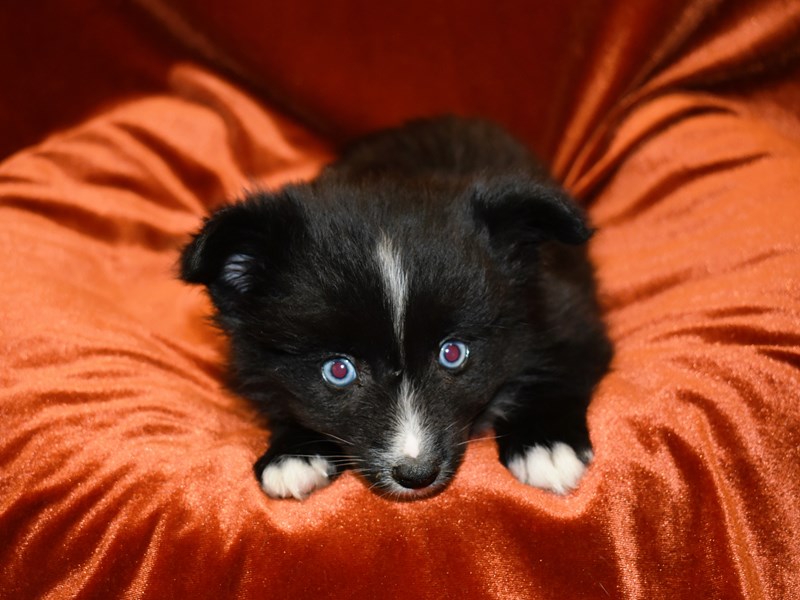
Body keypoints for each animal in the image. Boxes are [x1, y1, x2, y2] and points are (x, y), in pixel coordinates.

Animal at [178, 115, 608, 500]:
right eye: (338, 370)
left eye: (453, 353)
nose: (416, 474)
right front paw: (294, 453)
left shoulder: (568, 310)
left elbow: (561, 367)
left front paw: (546, 444)